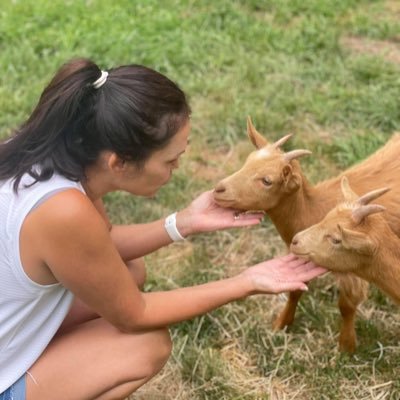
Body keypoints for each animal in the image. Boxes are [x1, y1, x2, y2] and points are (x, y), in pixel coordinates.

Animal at [216, 117, 400, 352]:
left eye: (267, 180)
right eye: (247, 162)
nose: (218, 190)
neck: (314, 209)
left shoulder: (353, 268)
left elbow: (347, 304)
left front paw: (346, 347)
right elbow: (294, 290)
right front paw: (282, 324)